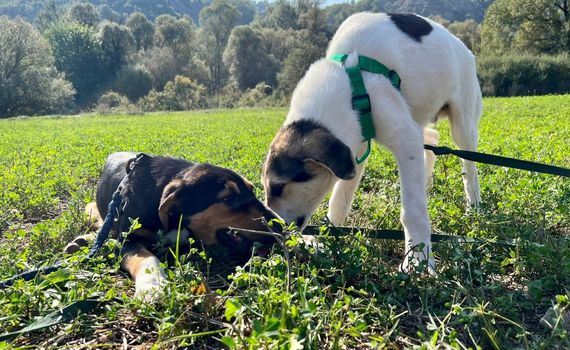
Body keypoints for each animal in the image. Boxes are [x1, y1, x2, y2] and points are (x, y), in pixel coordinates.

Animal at [65, 152, 278, 302]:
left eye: (252, 190)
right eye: (229, 198)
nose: (281, 225)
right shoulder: (126, 239)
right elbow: (145, 257)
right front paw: (153, 284)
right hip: (92, 209)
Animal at [260, 12, 480, 270]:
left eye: (278, 186)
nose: (269, 232)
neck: (350, 84)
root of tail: (463, 46)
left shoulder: (403, 136)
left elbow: (413, 211)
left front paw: (418, 261)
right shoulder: (357, 146)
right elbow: (339, 200)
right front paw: (327, 237)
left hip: (463, 122)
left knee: (469, 166)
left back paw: (474, 208)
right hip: (415, 116)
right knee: (431, 140)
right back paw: (426, 182)